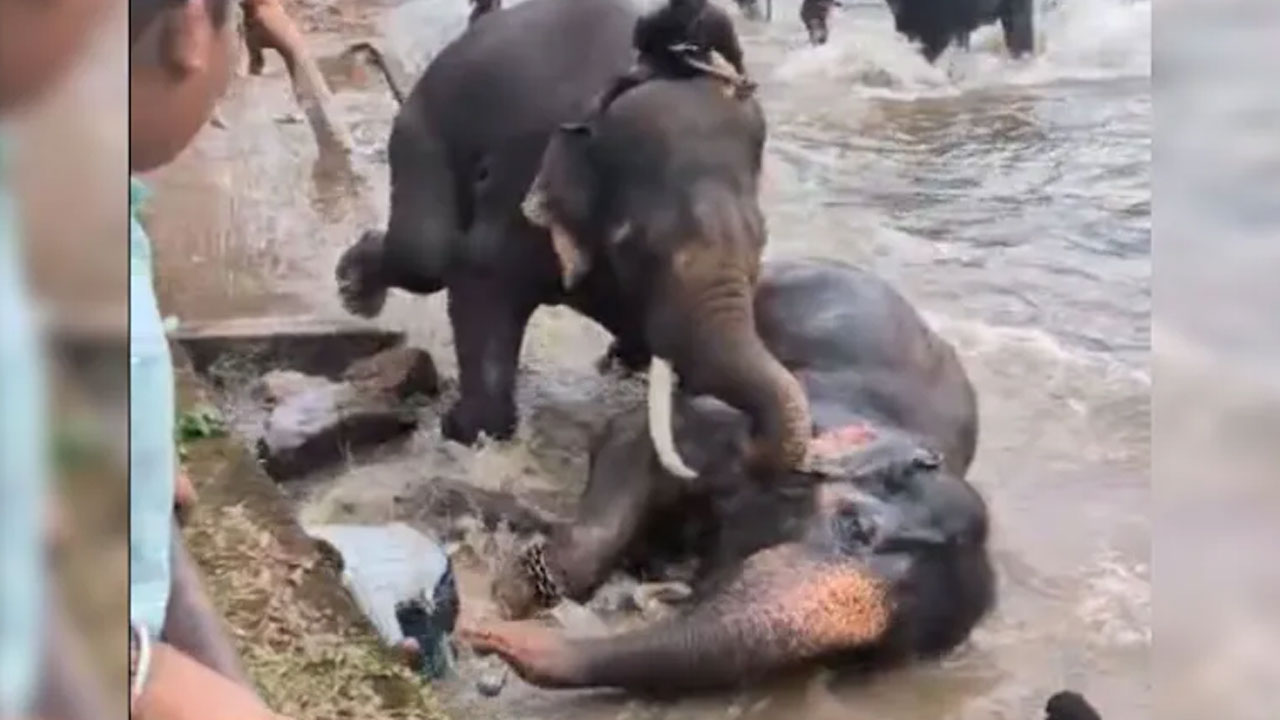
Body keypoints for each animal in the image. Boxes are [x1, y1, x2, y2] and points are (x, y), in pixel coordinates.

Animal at [336, 0, 815, 478]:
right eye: (636, 244)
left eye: (762, 240)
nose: (746, 443)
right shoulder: (517, 184)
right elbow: (480, 275)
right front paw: (467, 431)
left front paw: (623, 365)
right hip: (422, 127)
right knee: (425, 255)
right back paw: (353, 288)